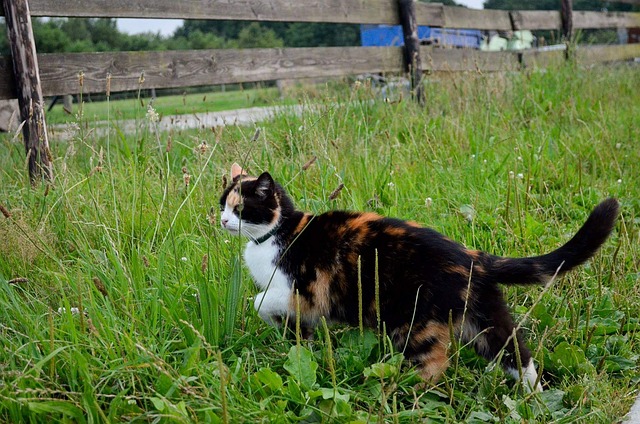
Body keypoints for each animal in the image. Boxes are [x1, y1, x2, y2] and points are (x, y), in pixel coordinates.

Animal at [218, 162, 616, 390]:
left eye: (241, 208)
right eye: (222, 203)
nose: (221, 220)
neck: (278, 232)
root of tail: (472, 257)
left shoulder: (300, 291)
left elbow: (259, 301)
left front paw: (284, 326)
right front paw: (300, 340)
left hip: (415, 323)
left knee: (434, 363)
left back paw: (407, 389)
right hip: (485, 316)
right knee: (517, 351)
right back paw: (533, 398)